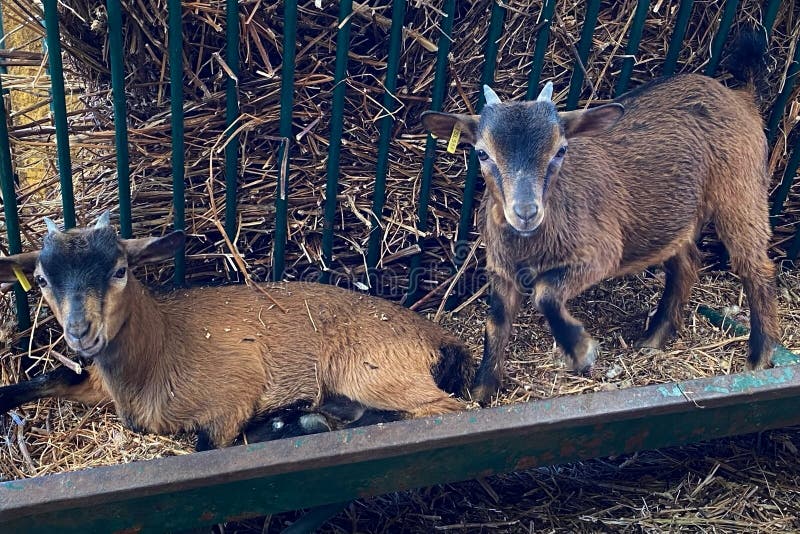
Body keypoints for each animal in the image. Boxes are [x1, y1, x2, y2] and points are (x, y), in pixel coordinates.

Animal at [0, 216, 472, 450]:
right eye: (41, 279)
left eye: (120, 270)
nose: (80, 332)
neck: (161, 348)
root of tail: (441, 338)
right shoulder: (97, 382)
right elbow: (51, 377)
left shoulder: (232, 397)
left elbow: (206, 448)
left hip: (371, 371)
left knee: (442, 410)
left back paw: (303, 422)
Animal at [422, 32, 780, 402]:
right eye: (482, 153)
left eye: (561, 150)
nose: (525, 212)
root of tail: (739, 96)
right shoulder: (501, 271)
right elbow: (495, 324)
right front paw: (480, 392)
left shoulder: (600, 254)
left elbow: (545, 292)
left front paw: (580, 350)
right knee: (686, 265)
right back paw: (653, 339)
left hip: (740, 192)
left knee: (756, 267)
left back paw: (759, 355)